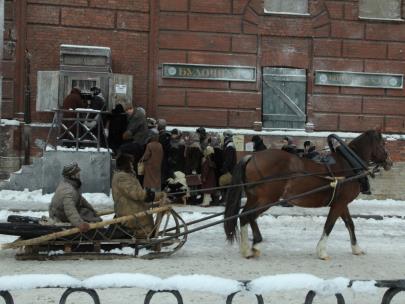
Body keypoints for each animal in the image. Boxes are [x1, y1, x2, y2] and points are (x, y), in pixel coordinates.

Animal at [224, 129, 392, 260]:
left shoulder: (341, 203)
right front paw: (322, 251)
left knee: (244, 216)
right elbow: (329, 225)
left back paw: (248, 248)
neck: (348, 164)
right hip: (268, 198)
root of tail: (252, 157)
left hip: (255, 198)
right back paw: (253, 245)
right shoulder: (339, 203)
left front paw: (356, 248)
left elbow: (350, 224)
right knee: (249, 216)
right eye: (383, 143)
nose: (390, 162)